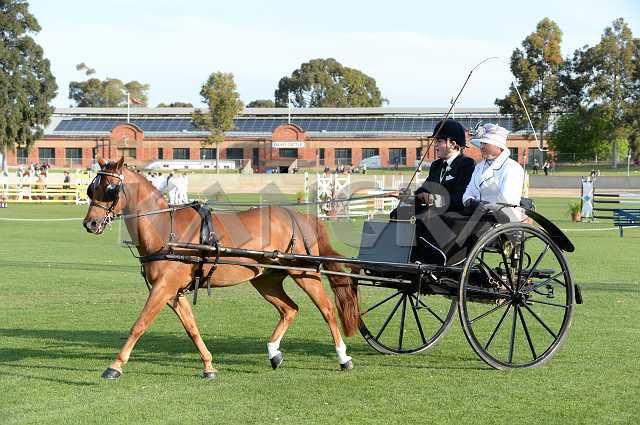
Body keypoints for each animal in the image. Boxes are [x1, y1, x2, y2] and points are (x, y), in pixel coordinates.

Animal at [82, 156, 359, 380]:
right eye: (92, 189)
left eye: (111, 189)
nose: (90, 223)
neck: (164, 228)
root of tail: (300, 217)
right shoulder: (174, 294)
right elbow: (192, 328)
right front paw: (208, 366)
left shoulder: (163, 288)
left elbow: (139, 325)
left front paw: (115, 366)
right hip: (265, 280)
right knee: (289, 309)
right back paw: (274, 353)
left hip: (305, 273)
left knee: (327, 310)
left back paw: (343, 357)